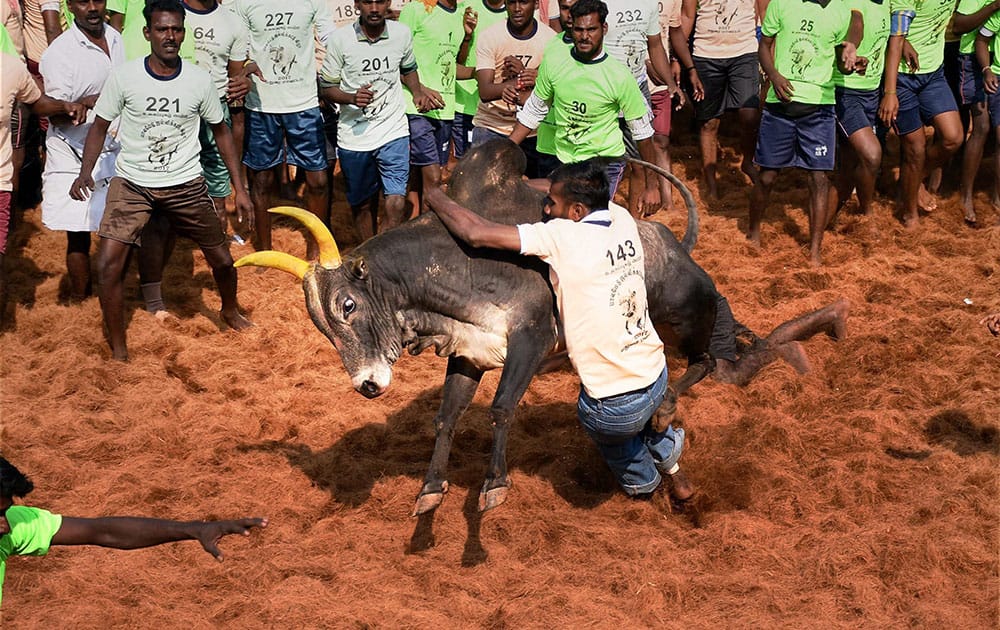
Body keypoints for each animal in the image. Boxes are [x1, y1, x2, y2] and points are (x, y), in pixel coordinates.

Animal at [236, 141, 844, 516]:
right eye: (321, 326)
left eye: (347, 305)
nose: (366, 385)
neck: (456, 265)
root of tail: (676, 244)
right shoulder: (468, 354)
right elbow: (447, 417)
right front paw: (431, 489)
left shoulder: (529, 340)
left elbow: (502, 409)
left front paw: (494, 484)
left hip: (687, 315)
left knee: (710, 364)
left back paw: (678, 402)